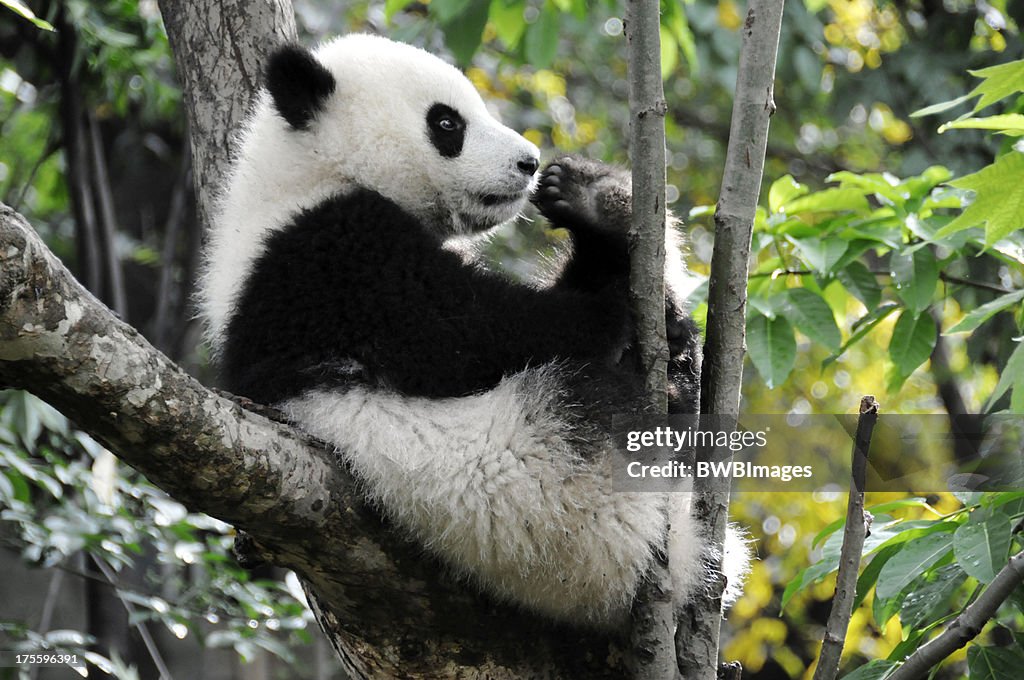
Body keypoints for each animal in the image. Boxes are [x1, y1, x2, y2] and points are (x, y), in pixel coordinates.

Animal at [199, 30, 749, 626]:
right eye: (447, 123)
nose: (529, 162)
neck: (305, 171)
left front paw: (587, 203)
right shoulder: (326, 258)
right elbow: (463, 335)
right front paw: (608, 307)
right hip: (549, 498)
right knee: (587, 404)